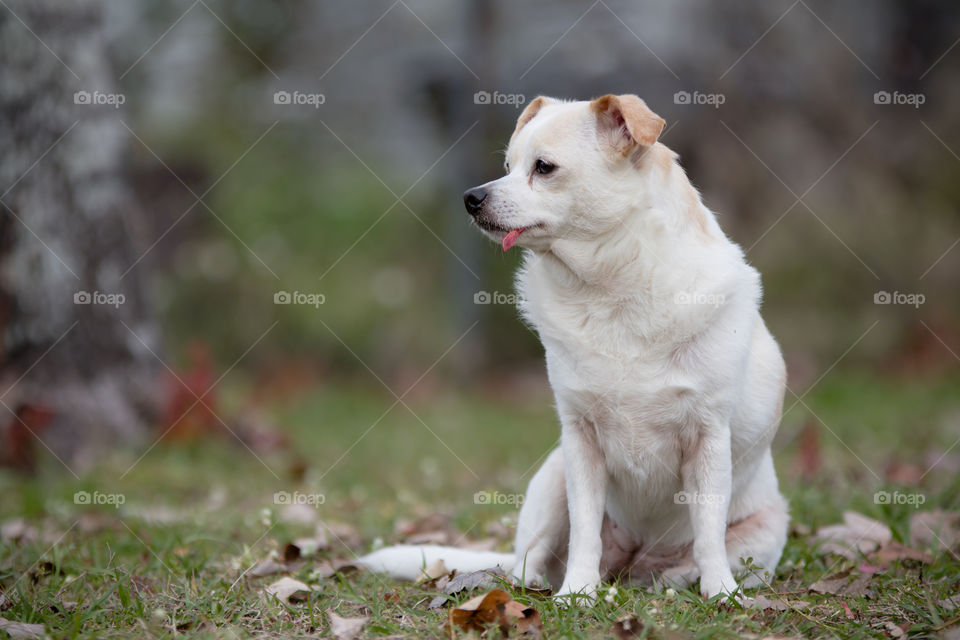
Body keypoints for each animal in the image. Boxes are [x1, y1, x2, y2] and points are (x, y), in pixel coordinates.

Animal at [360, 95, 788, 600]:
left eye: (543, 168)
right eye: (507, 167)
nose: (471, 197)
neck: (611, 290)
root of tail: (634, 562)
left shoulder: (708, 439)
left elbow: (708, 530)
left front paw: (720, 591)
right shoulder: (581, 443)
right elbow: (585, 529)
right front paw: (578, 594)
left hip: (765, 535)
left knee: (691, 561)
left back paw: (679, 580)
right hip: (551, 482)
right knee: (529, 565)